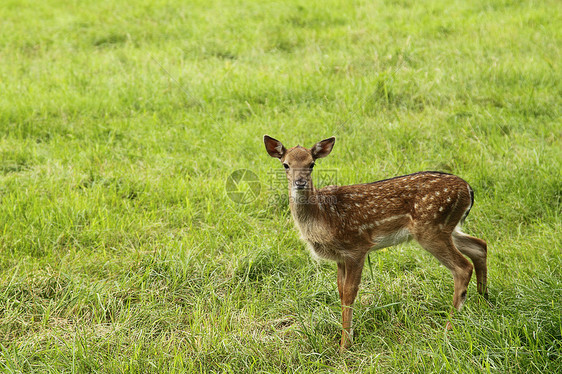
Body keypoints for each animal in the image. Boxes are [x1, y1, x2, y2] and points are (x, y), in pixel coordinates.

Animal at [262, 135, 486, 350]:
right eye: (286, 164)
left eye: (311, 164)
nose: (299, 183)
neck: (323, 217)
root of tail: (468, 189)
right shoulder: (340, 257)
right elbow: (340, 292)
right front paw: (344, 339)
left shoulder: (356, 247)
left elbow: (349, 294)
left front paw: (345, 346)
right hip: (447, 228)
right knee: (480, 245)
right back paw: (484, 300)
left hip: (431, 228)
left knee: (463, 267)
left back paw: (449, 327)